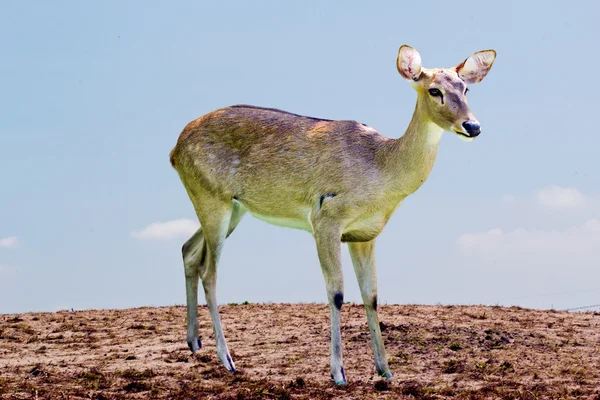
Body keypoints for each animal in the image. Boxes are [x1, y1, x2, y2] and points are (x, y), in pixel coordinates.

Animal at [170, 45, 496, 382]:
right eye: (434, 90)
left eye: (466, 89)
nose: (472, 126)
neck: (381, 170)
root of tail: (174, 151)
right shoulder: (326, 218)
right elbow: (337, 292)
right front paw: (338, 373)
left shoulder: (364, 234)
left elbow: (372, 295)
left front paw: (386, 370)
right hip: (212, 198)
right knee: (210, 271)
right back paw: (227, 359)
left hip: (231, 207)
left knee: (188, 250)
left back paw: (195, 343)